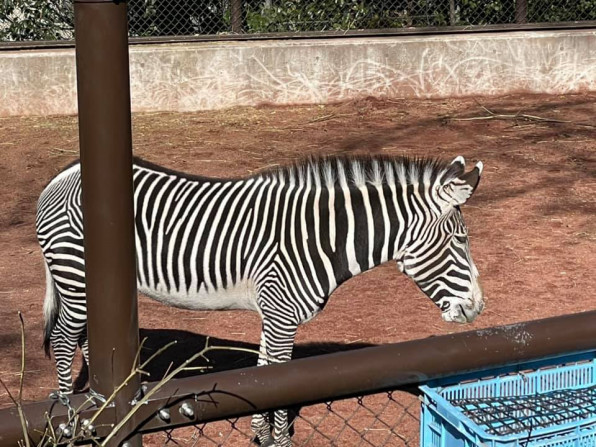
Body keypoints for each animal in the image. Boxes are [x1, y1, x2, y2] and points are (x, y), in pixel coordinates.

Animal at [36, 155, 484, 447]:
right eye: (460, 240)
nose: (478, 308)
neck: (321, 237)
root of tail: (64, 174)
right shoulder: (282, 312)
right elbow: (281, 381)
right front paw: (279, 441)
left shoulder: (274, 313)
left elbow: (264, 374)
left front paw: (260, 433)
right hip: (74, 274)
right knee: (62, 340)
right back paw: (68, 415)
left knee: (84, 339)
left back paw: (95, 410)